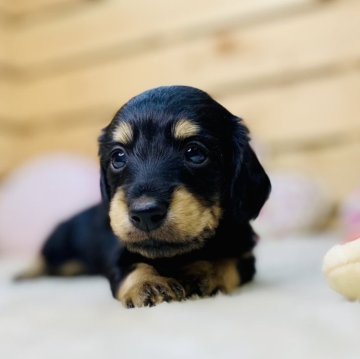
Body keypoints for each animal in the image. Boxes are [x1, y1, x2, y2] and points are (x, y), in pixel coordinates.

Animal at [16, 86, 270, 308]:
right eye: (118, 157)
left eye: (195, 152)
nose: (145, 213)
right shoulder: (118, 251)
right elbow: (131, 266)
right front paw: (149, 284)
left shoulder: (245, 252)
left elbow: (226, 261)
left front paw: (201, 273)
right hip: (59, 246)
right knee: (45, 259)